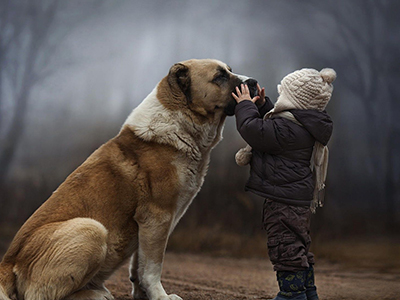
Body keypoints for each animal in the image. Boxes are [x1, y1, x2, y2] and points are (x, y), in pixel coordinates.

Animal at [0, 58, 258, 300]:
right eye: (219, 76)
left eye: (229, 70)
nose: (254, 82)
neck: (180, 123)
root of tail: (7, 263)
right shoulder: (158, 216)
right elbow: (153, 266)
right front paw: (160, 296)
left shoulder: (147, 225)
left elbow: (139, 265)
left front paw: (143, 293)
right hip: (92, 229)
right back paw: (96, 294)